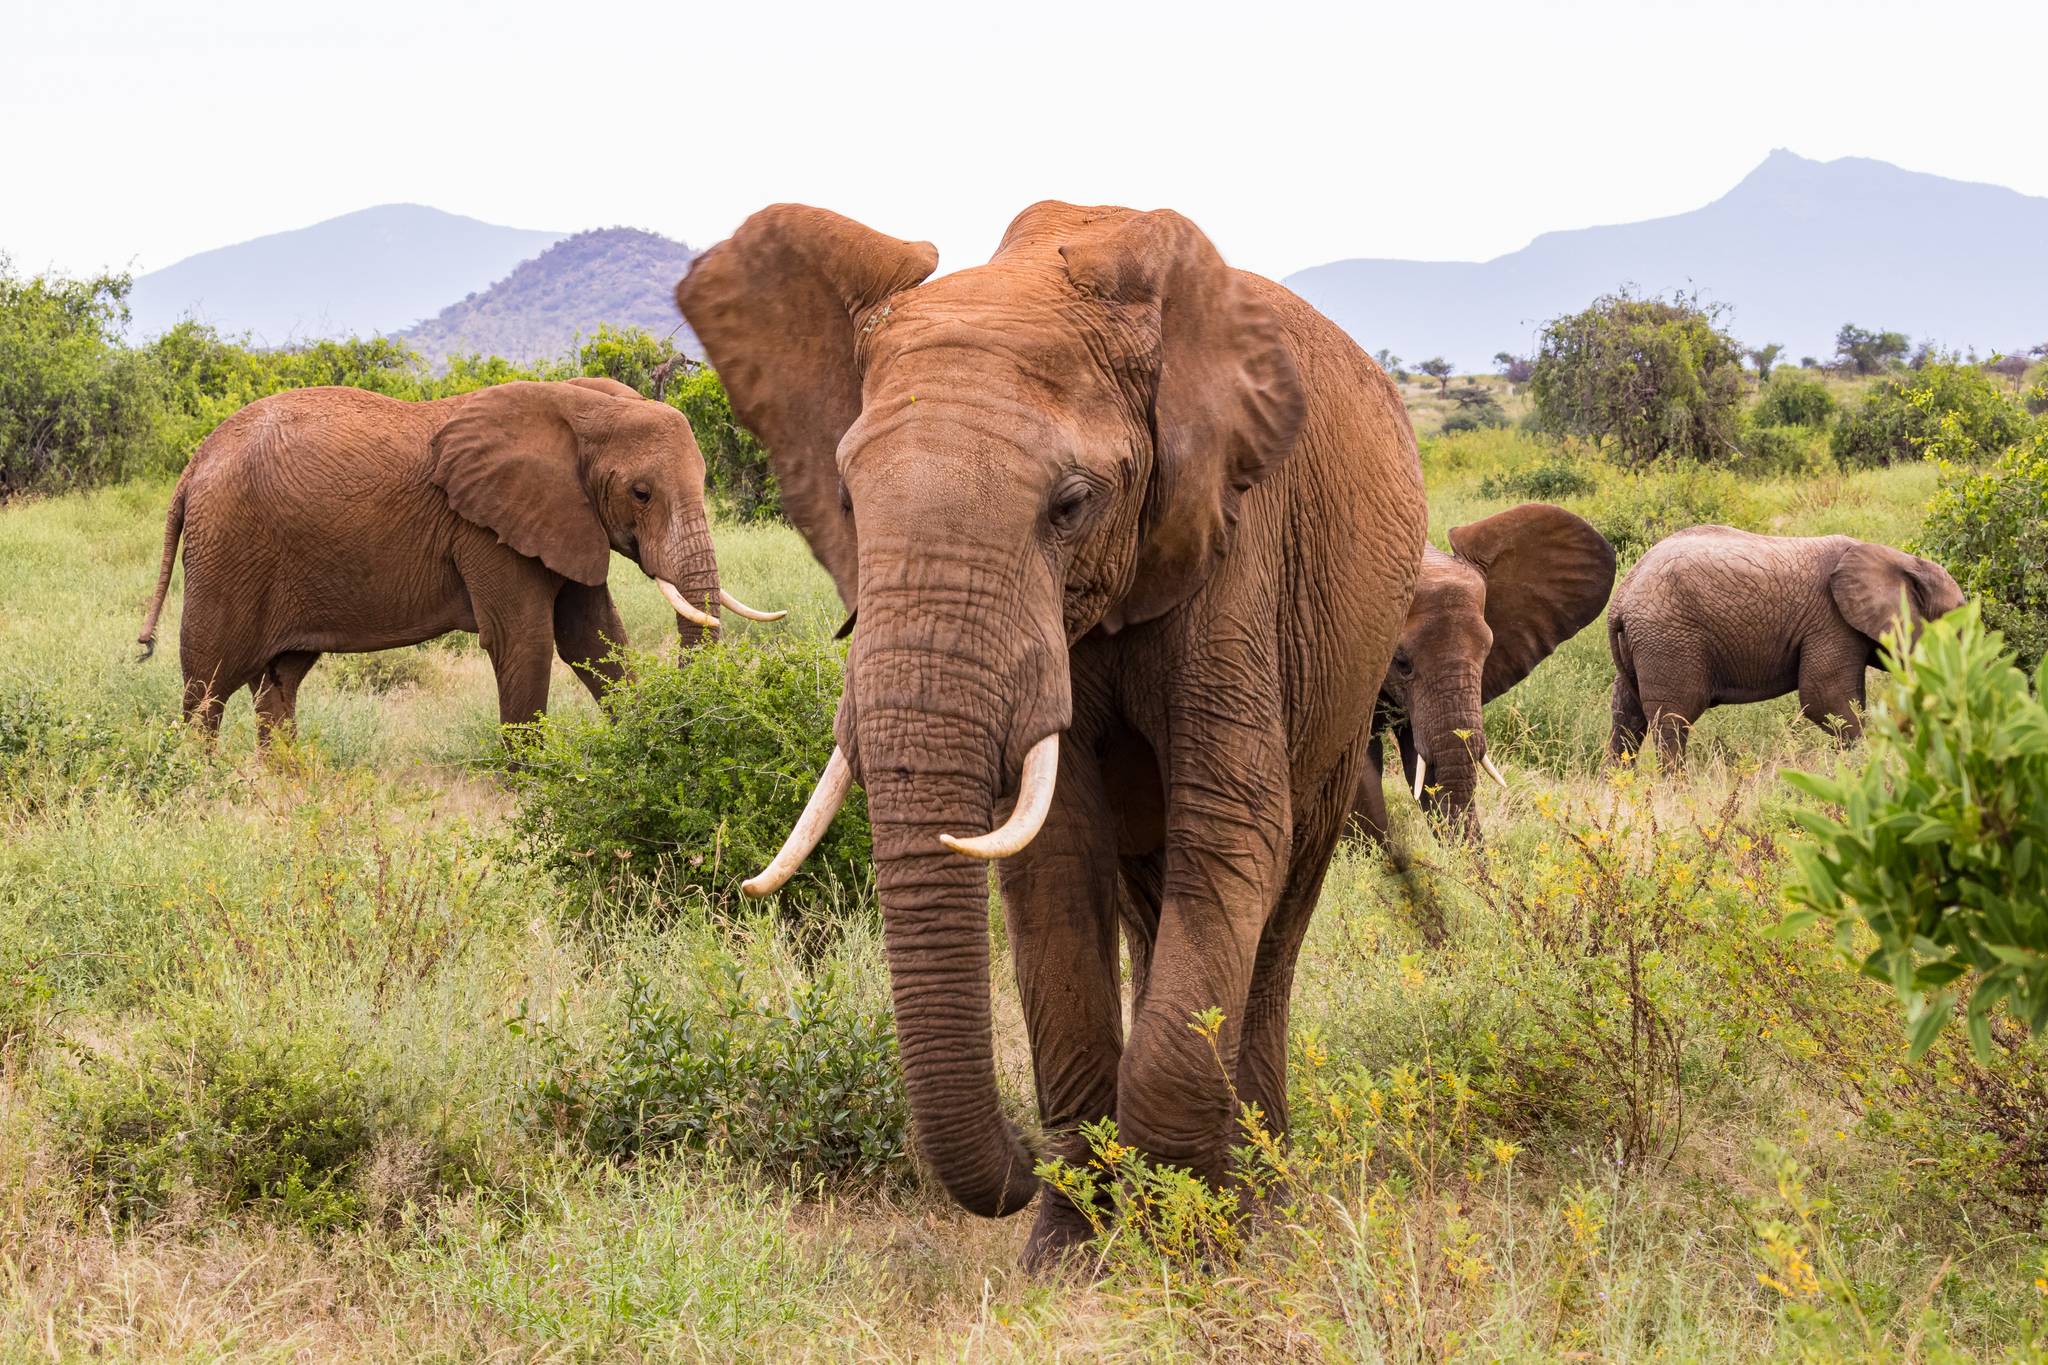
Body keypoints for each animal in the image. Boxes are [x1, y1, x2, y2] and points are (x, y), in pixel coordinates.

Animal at [134, 374, 774, 740]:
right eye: (641, 493)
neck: (581, 406)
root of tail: (195, 462)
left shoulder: (566, 519)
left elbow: (593, 637)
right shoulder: (487, 530)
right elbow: (527, 643)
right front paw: (533, 800)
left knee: (278, 683)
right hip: (227, 550)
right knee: (207, 686)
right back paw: (207, 795)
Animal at [671, 197, 1425, 1268]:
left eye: (1071, 506)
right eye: (848, 500)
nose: (1023, 1157)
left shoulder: (1239, 548)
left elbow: (1232, 824)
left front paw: (1188, 1236)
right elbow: (1056, 854)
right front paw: (1073, 1244)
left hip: (1348, 669)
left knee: (1280, 904)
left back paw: (1262, 1197)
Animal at [1605, 527, 1957, 765]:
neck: (1901, 559)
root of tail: (1619, 601)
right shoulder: (1831, 623)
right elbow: (1824, 699)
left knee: (1627, 717)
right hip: (1668, 640)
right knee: (1673, 720)